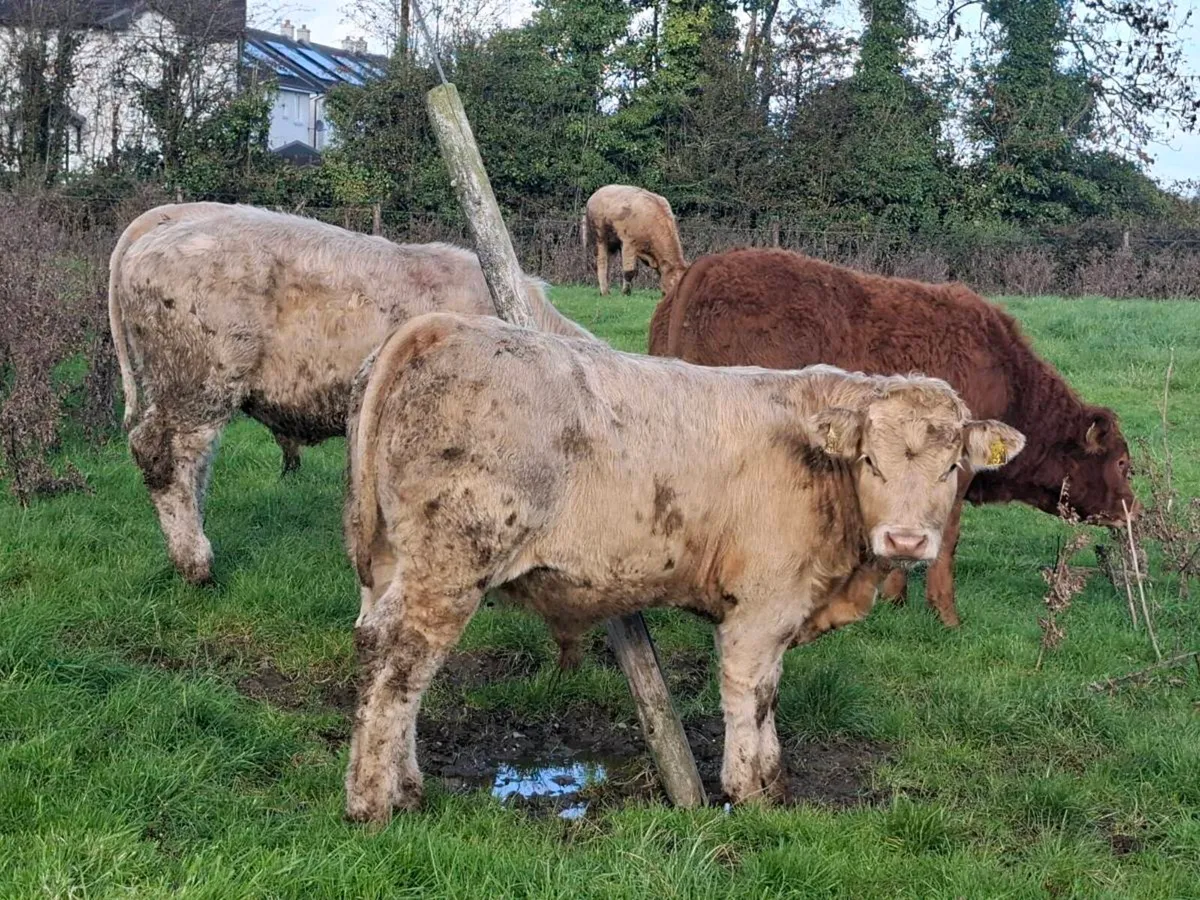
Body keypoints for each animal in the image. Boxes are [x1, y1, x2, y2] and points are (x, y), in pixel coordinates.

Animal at [342, 310, 1024, 824]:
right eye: (870, 462)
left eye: (951, 468)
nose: (906, 539)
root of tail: (443, 326)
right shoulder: (762, 607)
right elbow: (751, 693)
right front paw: (749, 792)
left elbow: (772, 694)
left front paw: (774, 782)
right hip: (451, 562)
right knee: (402, 663)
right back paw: (373, 803)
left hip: (391, 561)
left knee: (379, 653)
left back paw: (405, 786)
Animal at [648, 247, 1137, 627]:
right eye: (1121, 463)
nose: (1131, 510)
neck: (1008, 376)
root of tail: (704, 269)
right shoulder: (957, 472)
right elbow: (947, 539)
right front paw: (947, 616)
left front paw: (897, 599)